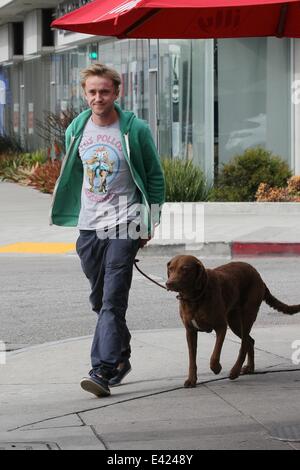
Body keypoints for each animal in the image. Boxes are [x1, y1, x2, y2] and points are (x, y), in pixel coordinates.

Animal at [166, 255, 300, 388]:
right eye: (171, 269)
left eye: (185, 269)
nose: (168, 283)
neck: (195, 298)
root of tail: (259, 277)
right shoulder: (190, 331)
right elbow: (192, 359)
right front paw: (192, 380)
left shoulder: (221, 327)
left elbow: (215, 355)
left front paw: (216, 368)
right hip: (234, 321)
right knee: (250, 341)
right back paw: (250, 368)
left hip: (248, 314)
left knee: (245, 343)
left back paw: (235, 372)